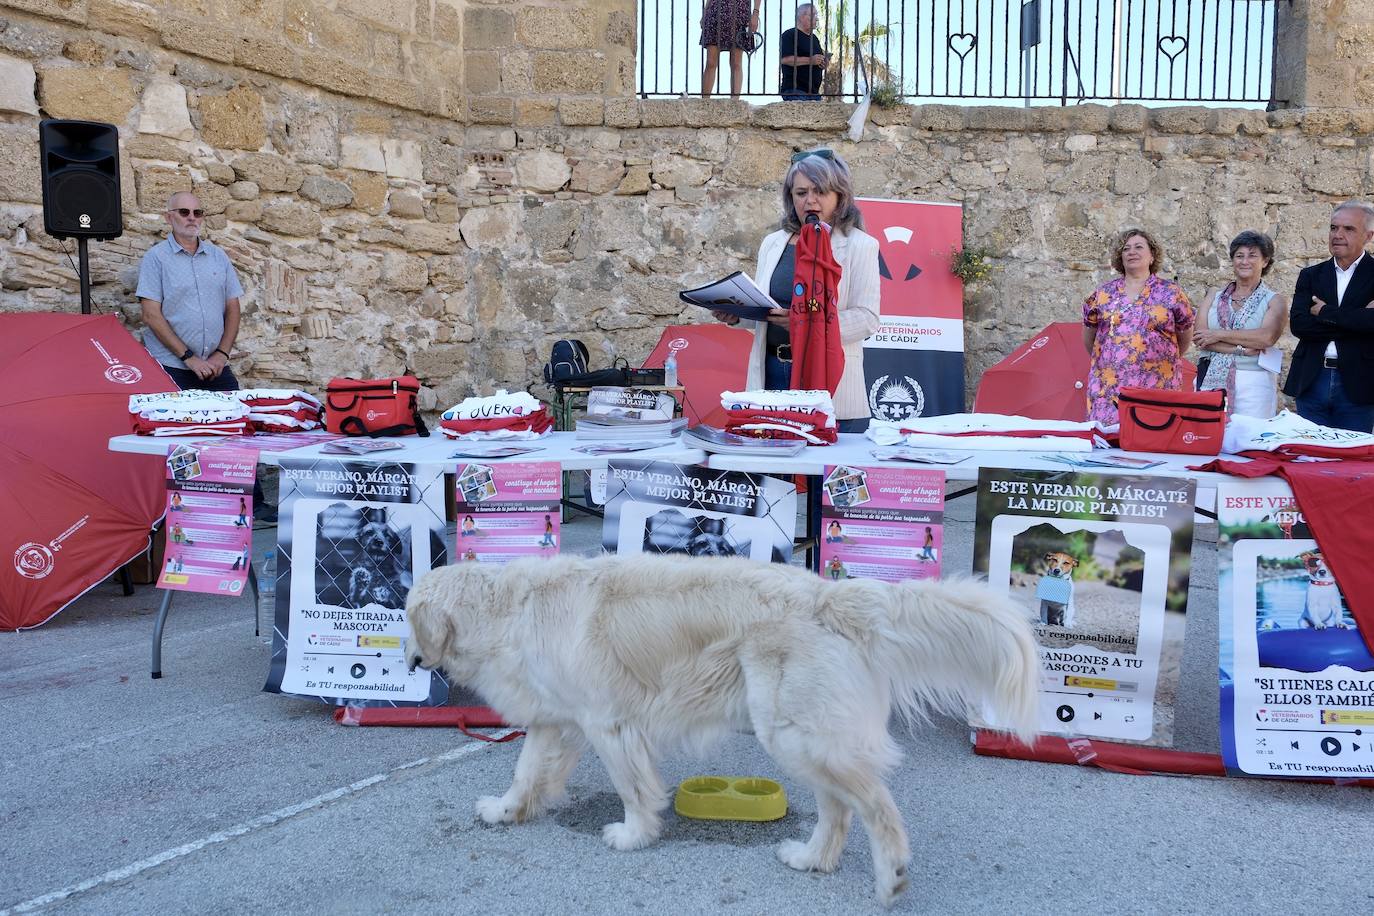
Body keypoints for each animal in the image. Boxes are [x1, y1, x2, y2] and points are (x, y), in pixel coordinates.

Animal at [401, 554, 1033, 906]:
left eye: (407, 620)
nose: (406, 660)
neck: (508, 607)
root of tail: (831, 594)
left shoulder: (608, 721)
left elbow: (633, 789)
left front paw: (634, 835)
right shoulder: (556, 720)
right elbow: (525, 772)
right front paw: (505, 811)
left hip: (794, 732)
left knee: (876, 806)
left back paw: (891, 878)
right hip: (799, 736)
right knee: (839, 810)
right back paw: (811, 859)